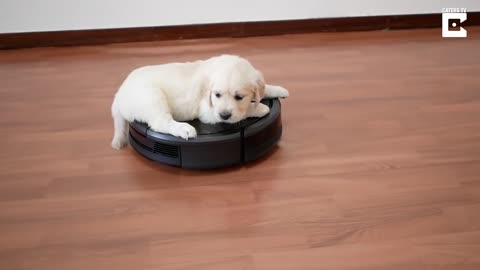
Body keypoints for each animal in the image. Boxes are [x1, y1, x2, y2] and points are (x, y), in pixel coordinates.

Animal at [110, 53, 288, 149]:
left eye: (239, 97)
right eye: (217, 95)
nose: (224, 115)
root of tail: (119, 95)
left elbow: (264, 88)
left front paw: (279, 89)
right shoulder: (208, 112)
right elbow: (244, 112)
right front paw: (260, 108)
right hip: (152, 97)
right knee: (161, 122)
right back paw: (184, 129)